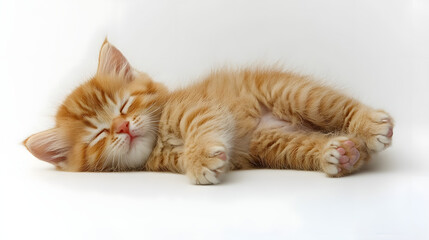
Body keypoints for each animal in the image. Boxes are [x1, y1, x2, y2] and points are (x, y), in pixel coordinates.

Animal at [22, 40, 392, 185]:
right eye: (98, 134)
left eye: (124, 106)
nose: (123, 126)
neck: (160, 139)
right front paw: (198, 160)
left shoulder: (198, 108)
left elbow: (202, 129)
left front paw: (201, 159)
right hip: (275, 144)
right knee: (327, 148)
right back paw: (343, 153)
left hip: (296, 94)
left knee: (344, 107)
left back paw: (370, 126)